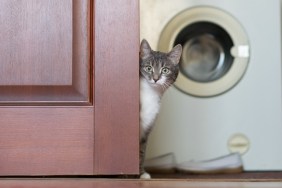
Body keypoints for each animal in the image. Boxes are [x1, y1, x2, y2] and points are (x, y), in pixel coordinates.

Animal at [139, 39, 183, 178]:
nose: (156, 79)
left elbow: (141, 150)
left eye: (165, 70)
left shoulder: (147, 127)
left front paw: (141, 174)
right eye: (149, 68)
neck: (150, 93)